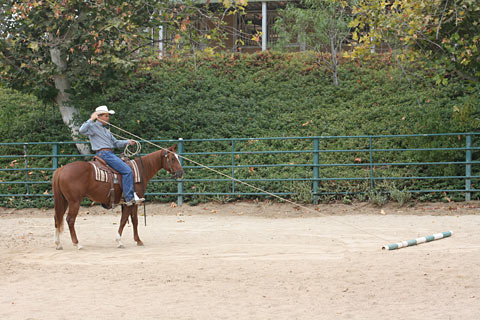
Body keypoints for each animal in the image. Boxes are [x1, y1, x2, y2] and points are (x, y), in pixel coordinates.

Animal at [52, 145, 184, 250]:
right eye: (172, 158)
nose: (181, 173)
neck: (139, 171)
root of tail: (61, 169)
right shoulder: (131, 202)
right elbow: (125, 220)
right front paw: (120, 241)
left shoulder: (128, 203)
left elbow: (133, 220)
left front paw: (138, 240)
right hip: (74, 201)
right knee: (70, 220)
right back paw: (77, 244)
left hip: (64, 201)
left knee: (57, 218)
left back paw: (58, 244)